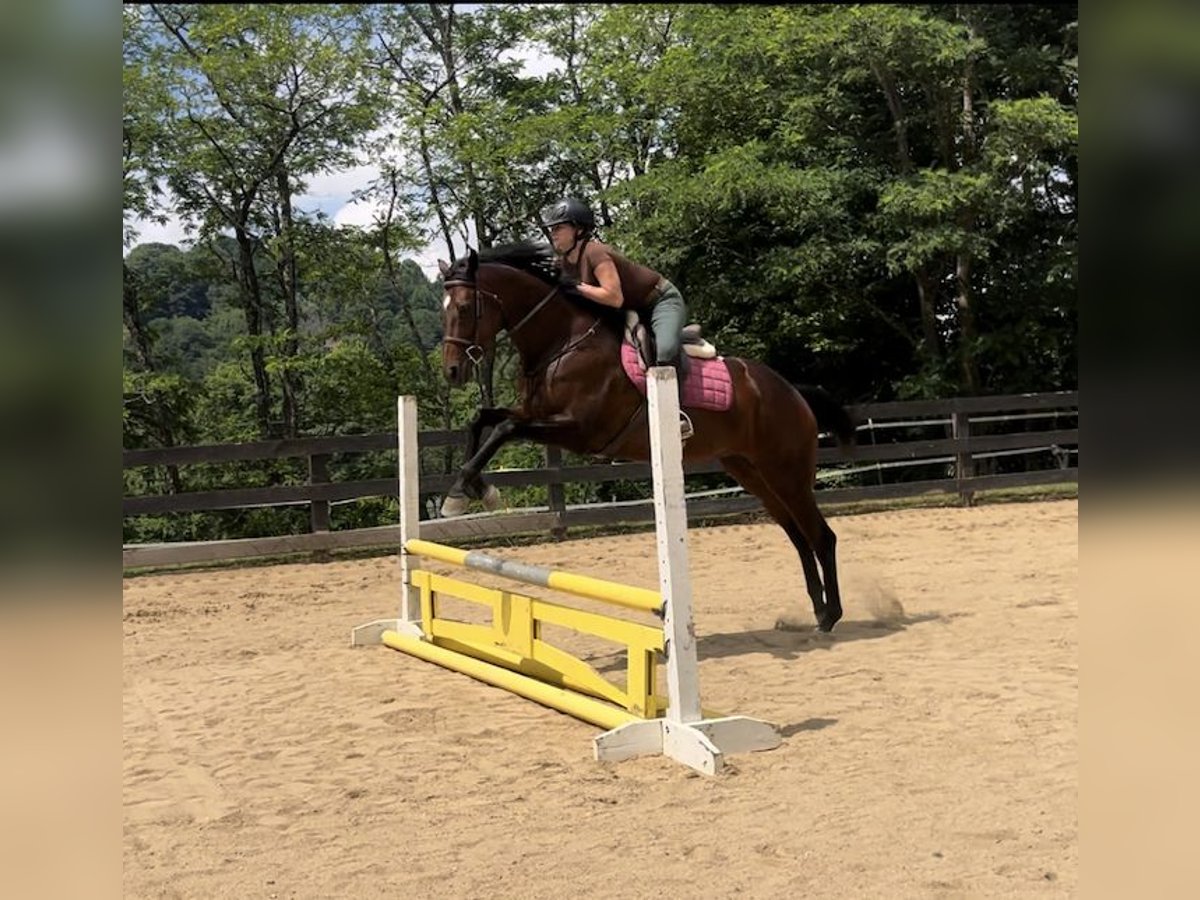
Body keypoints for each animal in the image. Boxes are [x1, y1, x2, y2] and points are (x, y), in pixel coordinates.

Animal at [436, 243, 859, 628]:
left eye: (463, 307)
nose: (453, 372)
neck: (563, 341)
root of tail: (791, 391)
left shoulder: (579, 429)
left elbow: (503, 428)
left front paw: (462, 494)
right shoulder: (535, 414)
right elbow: (482, 421)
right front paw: (468, 491)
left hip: (786, 473)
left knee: (821, 536)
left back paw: (832, 615)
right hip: (751, 472)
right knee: (799, 536)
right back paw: (818, 610)